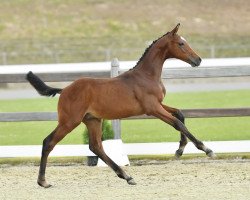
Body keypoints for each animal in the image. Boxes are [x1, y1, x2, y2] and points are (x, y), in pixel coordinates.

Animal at [26, 23, 215, 188]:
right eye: (181, 43)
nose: (198, 60)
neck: (146, 75)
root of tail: (64, 90)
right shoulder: (153, 108)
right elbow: (177, 123)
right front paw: (206, 149)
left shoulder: (158, 105)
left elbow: (180, 114)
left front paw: (180, 150)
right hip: (69, 121)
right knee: (49, 142)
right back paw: (43, 181)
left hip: (93, 120)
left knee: (96, 146)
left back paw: (126, 176)